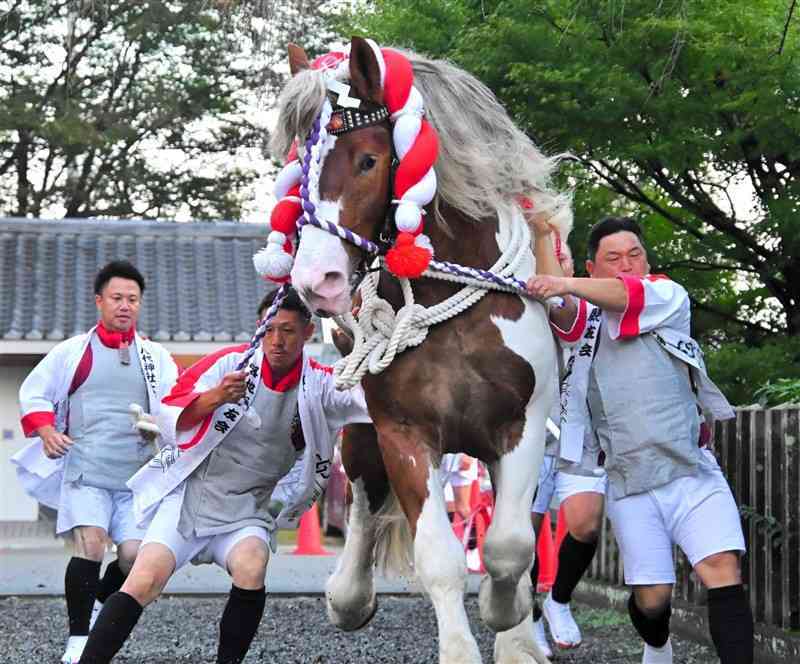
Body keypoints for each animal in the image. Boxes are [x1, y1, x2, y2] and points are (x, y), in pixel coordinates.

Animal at [272, 37, 572, 664]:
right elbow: (438, 554)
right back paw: (348, 594)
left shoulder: (523, 423)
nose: (317, 279)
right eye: (295, 168)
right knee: (362, 499)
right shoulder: (403, 430)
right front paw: (461, 647)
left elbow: (509, 545)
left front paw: (509, 620)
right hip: (363, 428)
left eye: (368, 160)